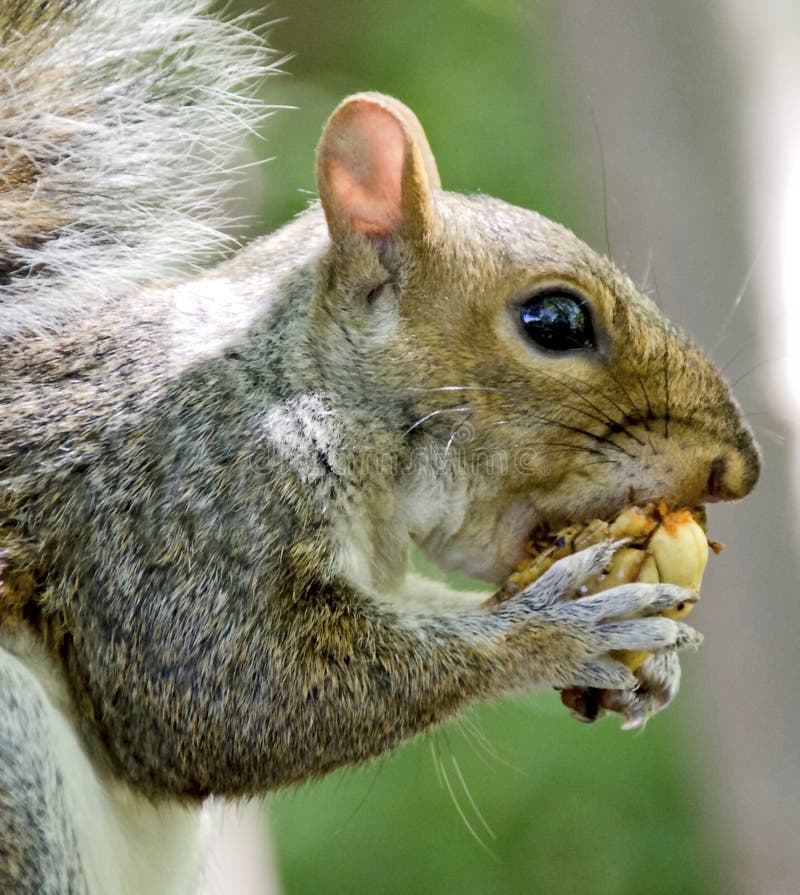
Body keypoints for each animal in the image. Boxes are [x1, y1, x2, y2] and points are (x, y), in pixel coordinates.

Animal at [0, 1, 760, 893]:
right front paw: (557, 629)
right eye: (555, 320)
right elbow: (229, 692)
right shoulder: (176, 500)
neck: (293, 385)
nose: (739, 469)